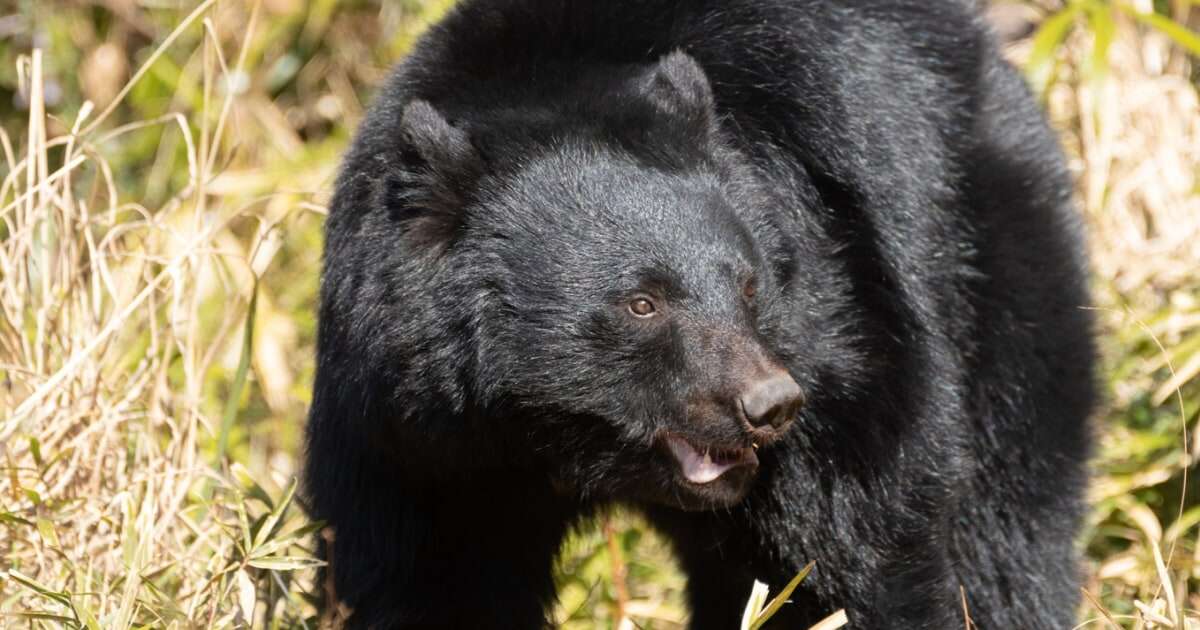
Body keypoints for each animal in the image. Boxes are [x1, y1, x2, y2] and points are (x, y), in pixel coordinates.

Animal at [307, 2, 1099, 624]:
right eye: (642, 303)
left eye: (750, 286)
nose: (769, 404)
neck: (550, 440)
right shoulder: (417, 432)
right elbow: (429, 575)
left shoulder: (837, 318)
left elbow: (849, 540)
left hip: (991, 266)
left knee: (1009, 521)